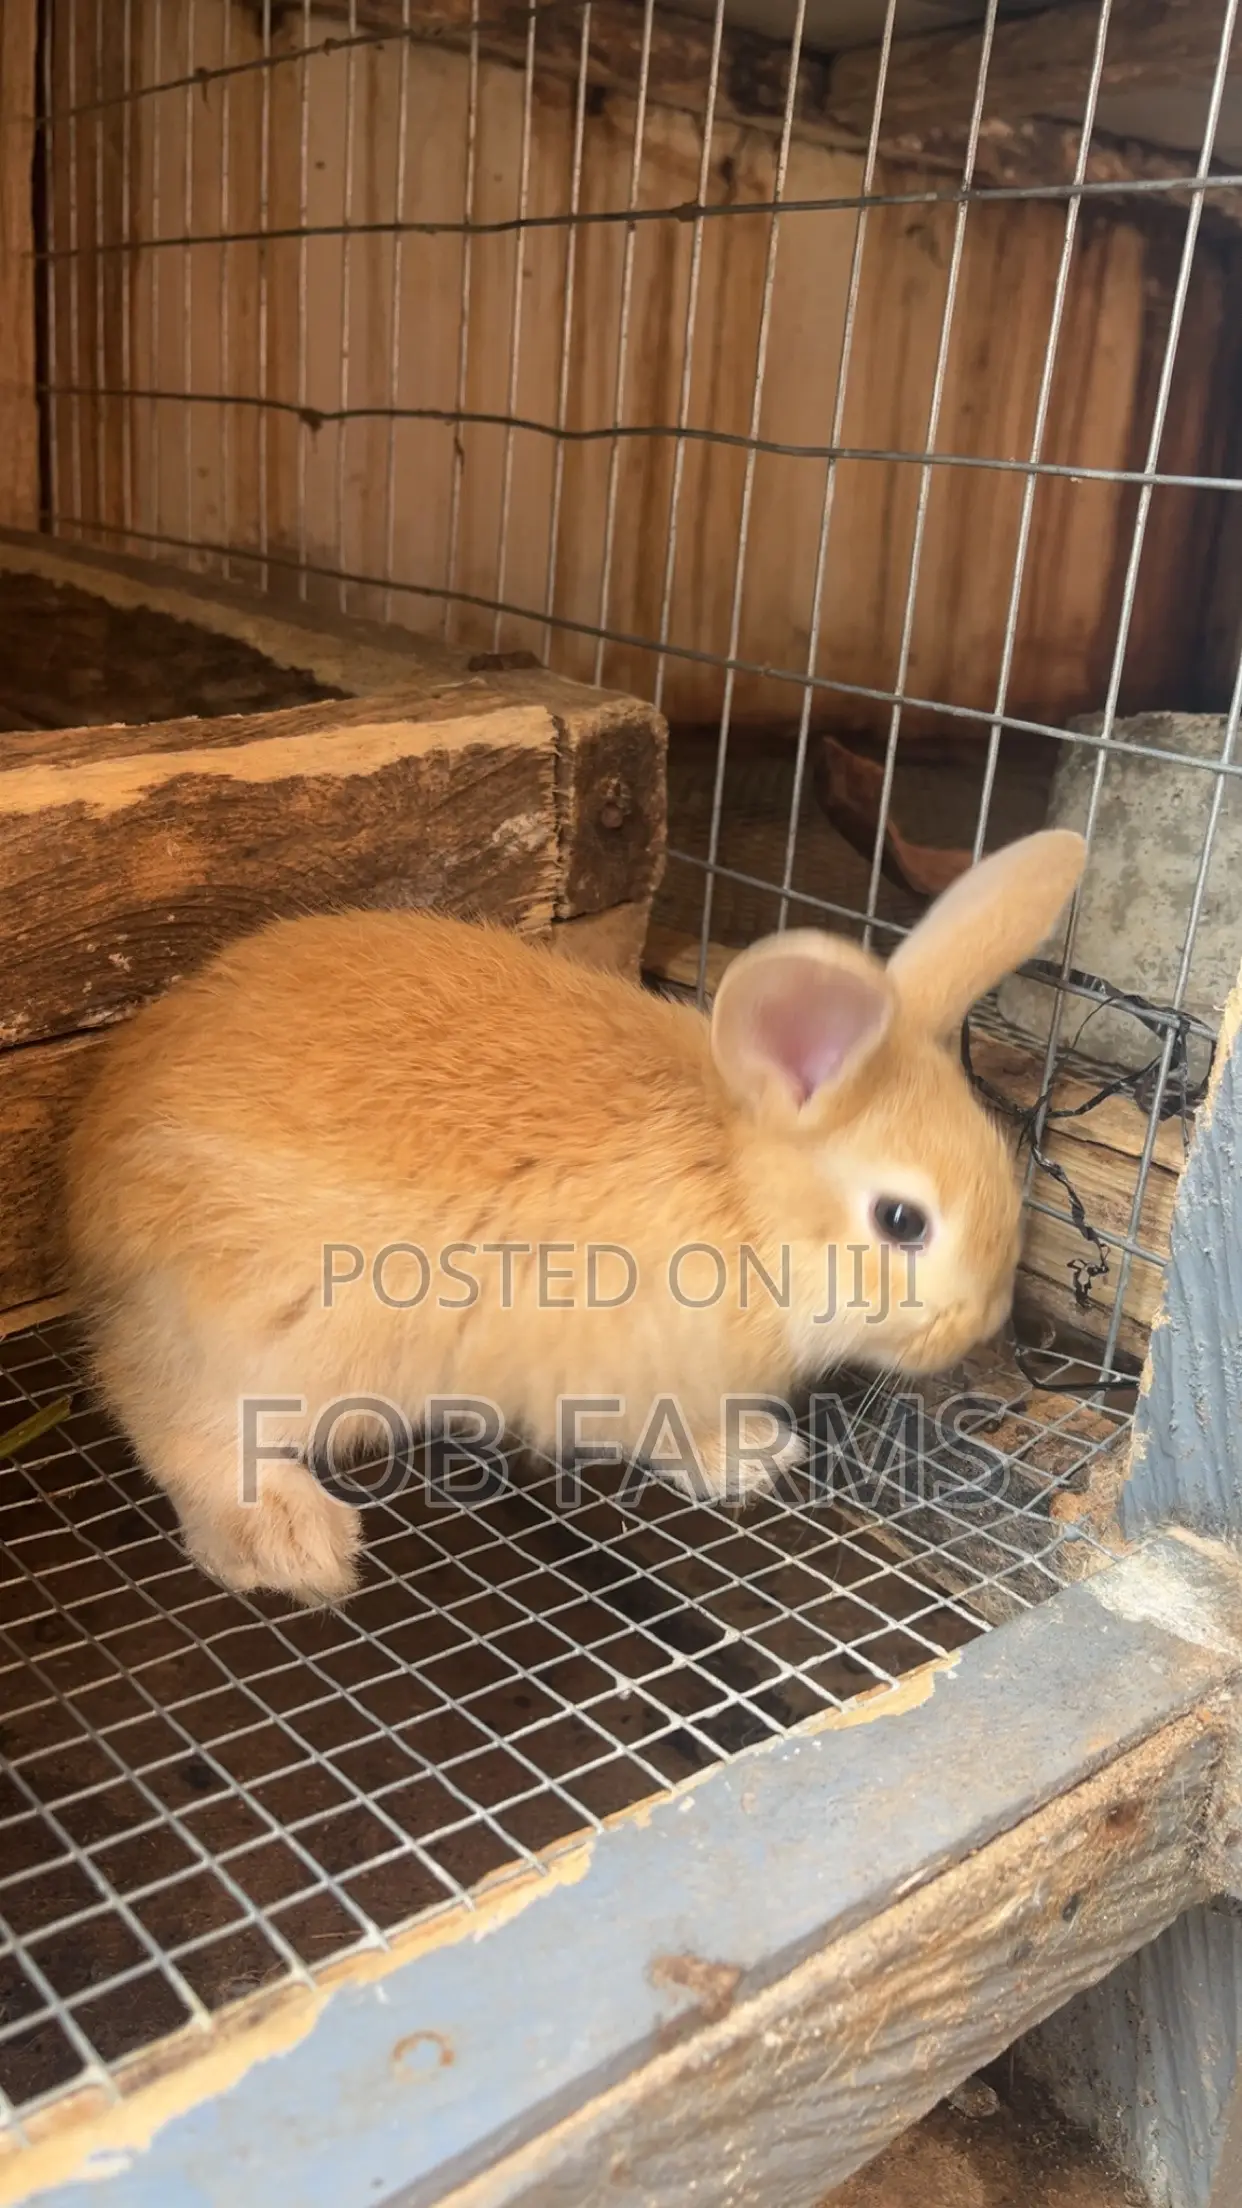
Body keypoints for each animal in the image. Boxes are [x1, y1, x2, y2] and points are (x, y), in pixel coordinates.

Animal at [63, 827, 1085, 1608]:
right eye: (903, 1221)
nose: (981, 1325)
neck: (739, 1196)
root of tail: (90, 1175)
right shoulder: (627, 1372)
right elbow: (666, 1430)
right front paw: (745, 1457)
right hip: (267, 1337)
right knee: (165, 1411)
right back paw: (290, 1540)